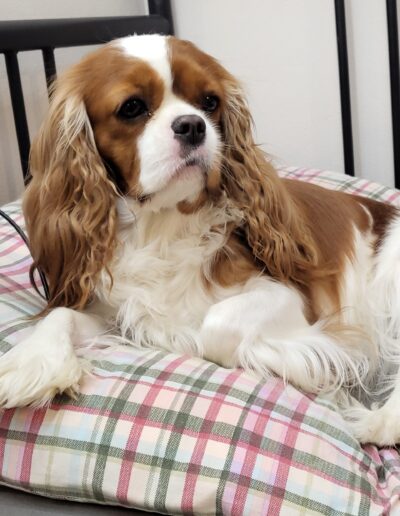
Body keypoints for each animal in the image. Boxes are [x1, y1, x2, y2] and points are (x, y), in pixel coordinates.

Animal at [0, 34, 399, 446]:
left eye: (210, 102)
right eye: (132, 107)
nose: (193, 125)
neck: (163, 225)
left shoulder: (291, 299)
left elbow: (215, 324)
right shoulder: (116, 312)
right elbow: (61, 315)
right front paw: (32, 362)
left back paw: (375, 421)